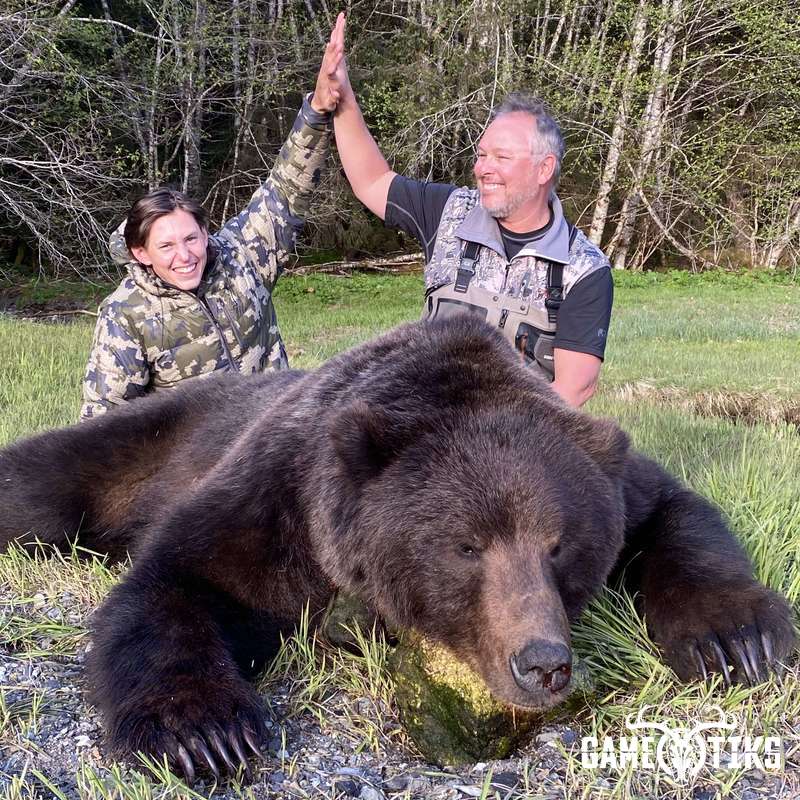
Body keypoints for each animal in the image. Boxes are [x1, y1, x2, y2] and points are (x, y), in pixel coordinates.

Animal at [0, 315, 795, 782]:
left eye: (559, 546)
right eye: (467, 546)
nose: (543, 663)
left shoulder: (619, 481)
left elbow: (676, 515)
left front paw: (738, 640)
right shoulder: (281, 498)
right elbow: (179, 581)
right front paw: (205, 733)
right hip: (148, 439)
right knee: (42, 481)